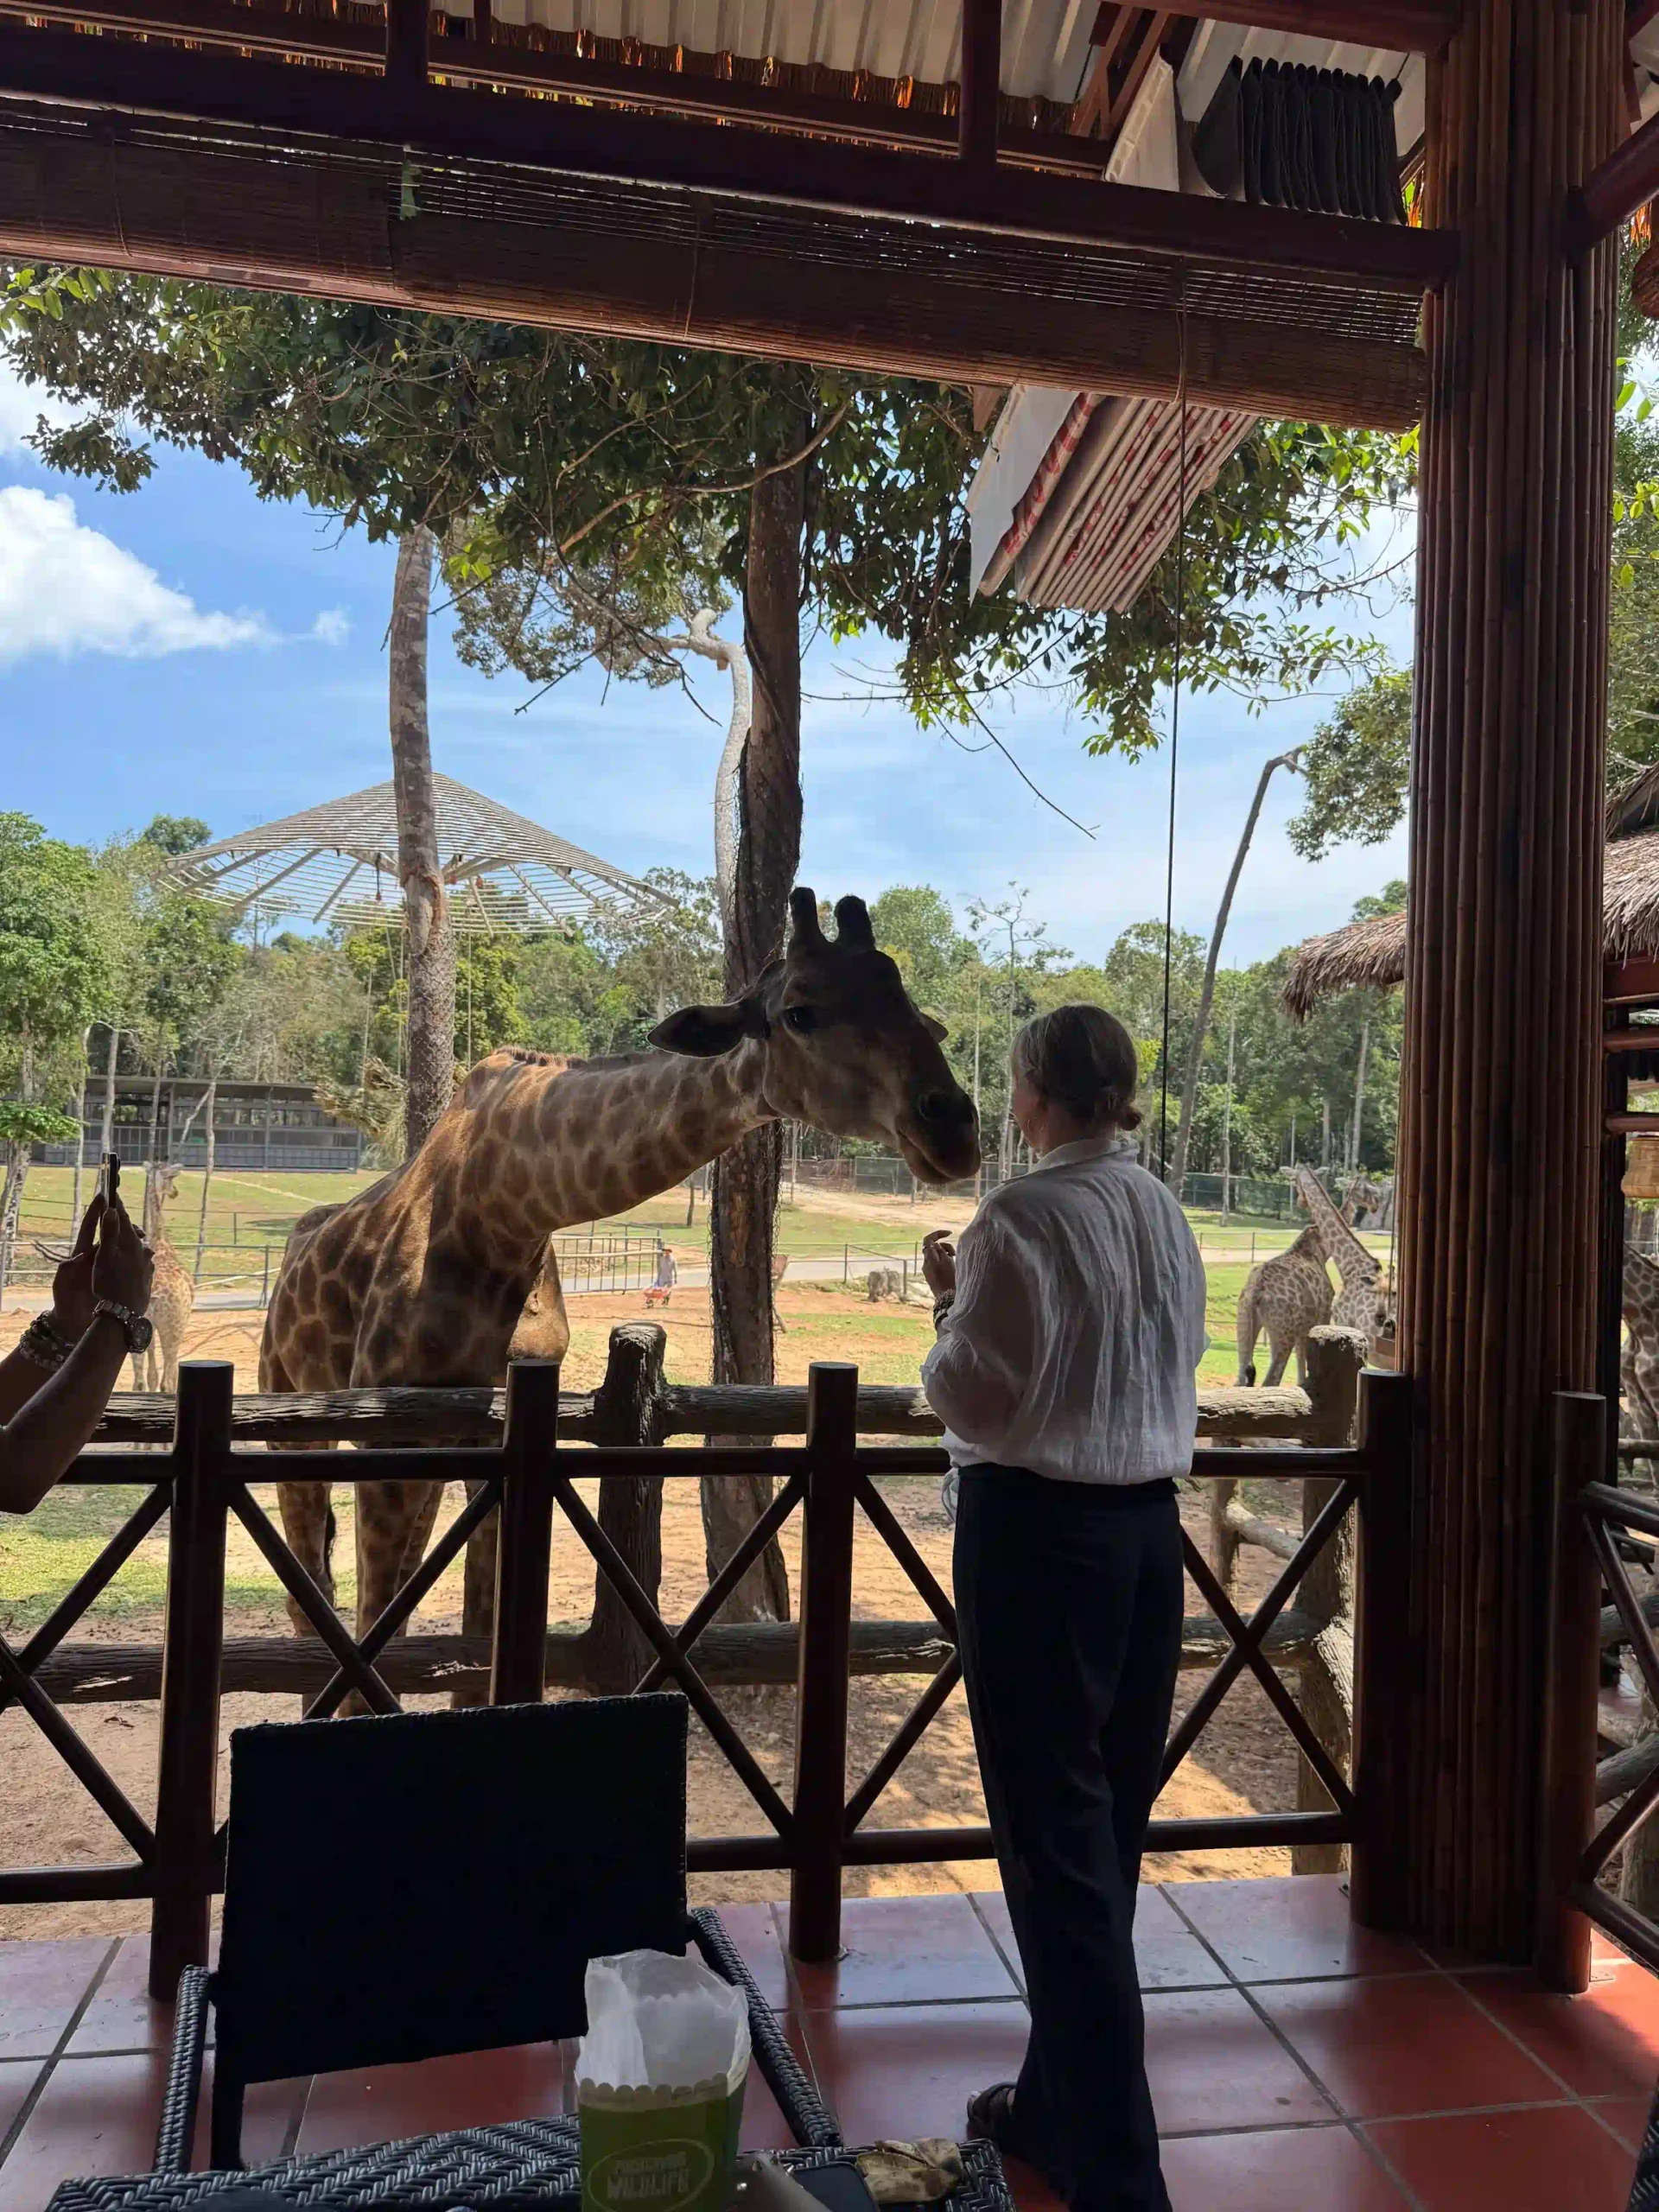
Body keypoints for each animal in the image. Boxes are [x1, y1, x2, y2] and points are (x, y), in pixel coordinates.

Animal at [260, 889, 979, 1661]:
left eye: (906, 1001)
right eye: (800, 1011)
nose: (954, 1130)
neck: (505, 1207)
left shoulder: (495, 1435)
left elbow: (480, 1630)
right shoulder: (390, 1428)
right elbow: (376, 1631)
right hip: (294, 1415)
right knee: (314, 1594)